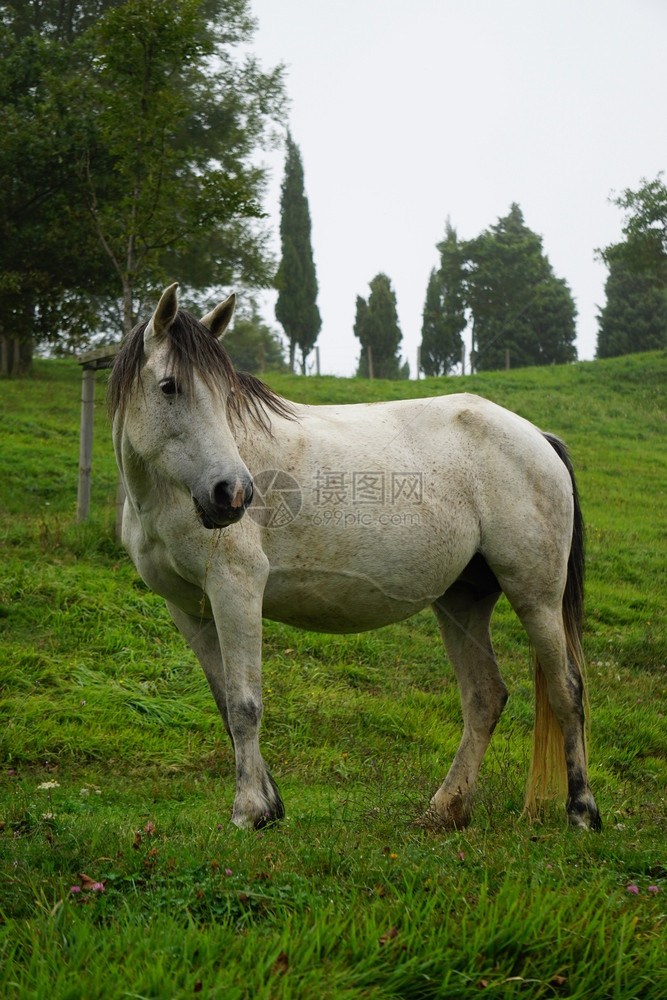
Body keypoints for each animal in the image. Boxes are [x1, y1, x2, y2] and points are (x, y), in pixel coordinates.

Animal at [108, 286, 600, 832]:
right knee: (485, 698)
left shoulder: (236, 591)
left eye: (225, 395)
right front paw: (270, 805)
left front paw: (249, 812)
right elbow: (225, 705)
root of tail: (539, 438)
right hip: (462, 601)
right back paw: (446, 808)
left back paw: (582, 811)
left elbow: (244, 705)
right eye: (170, 387)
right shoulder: (187, 608)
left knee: (566, 690)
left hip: (536, 597)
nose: (231, 494)